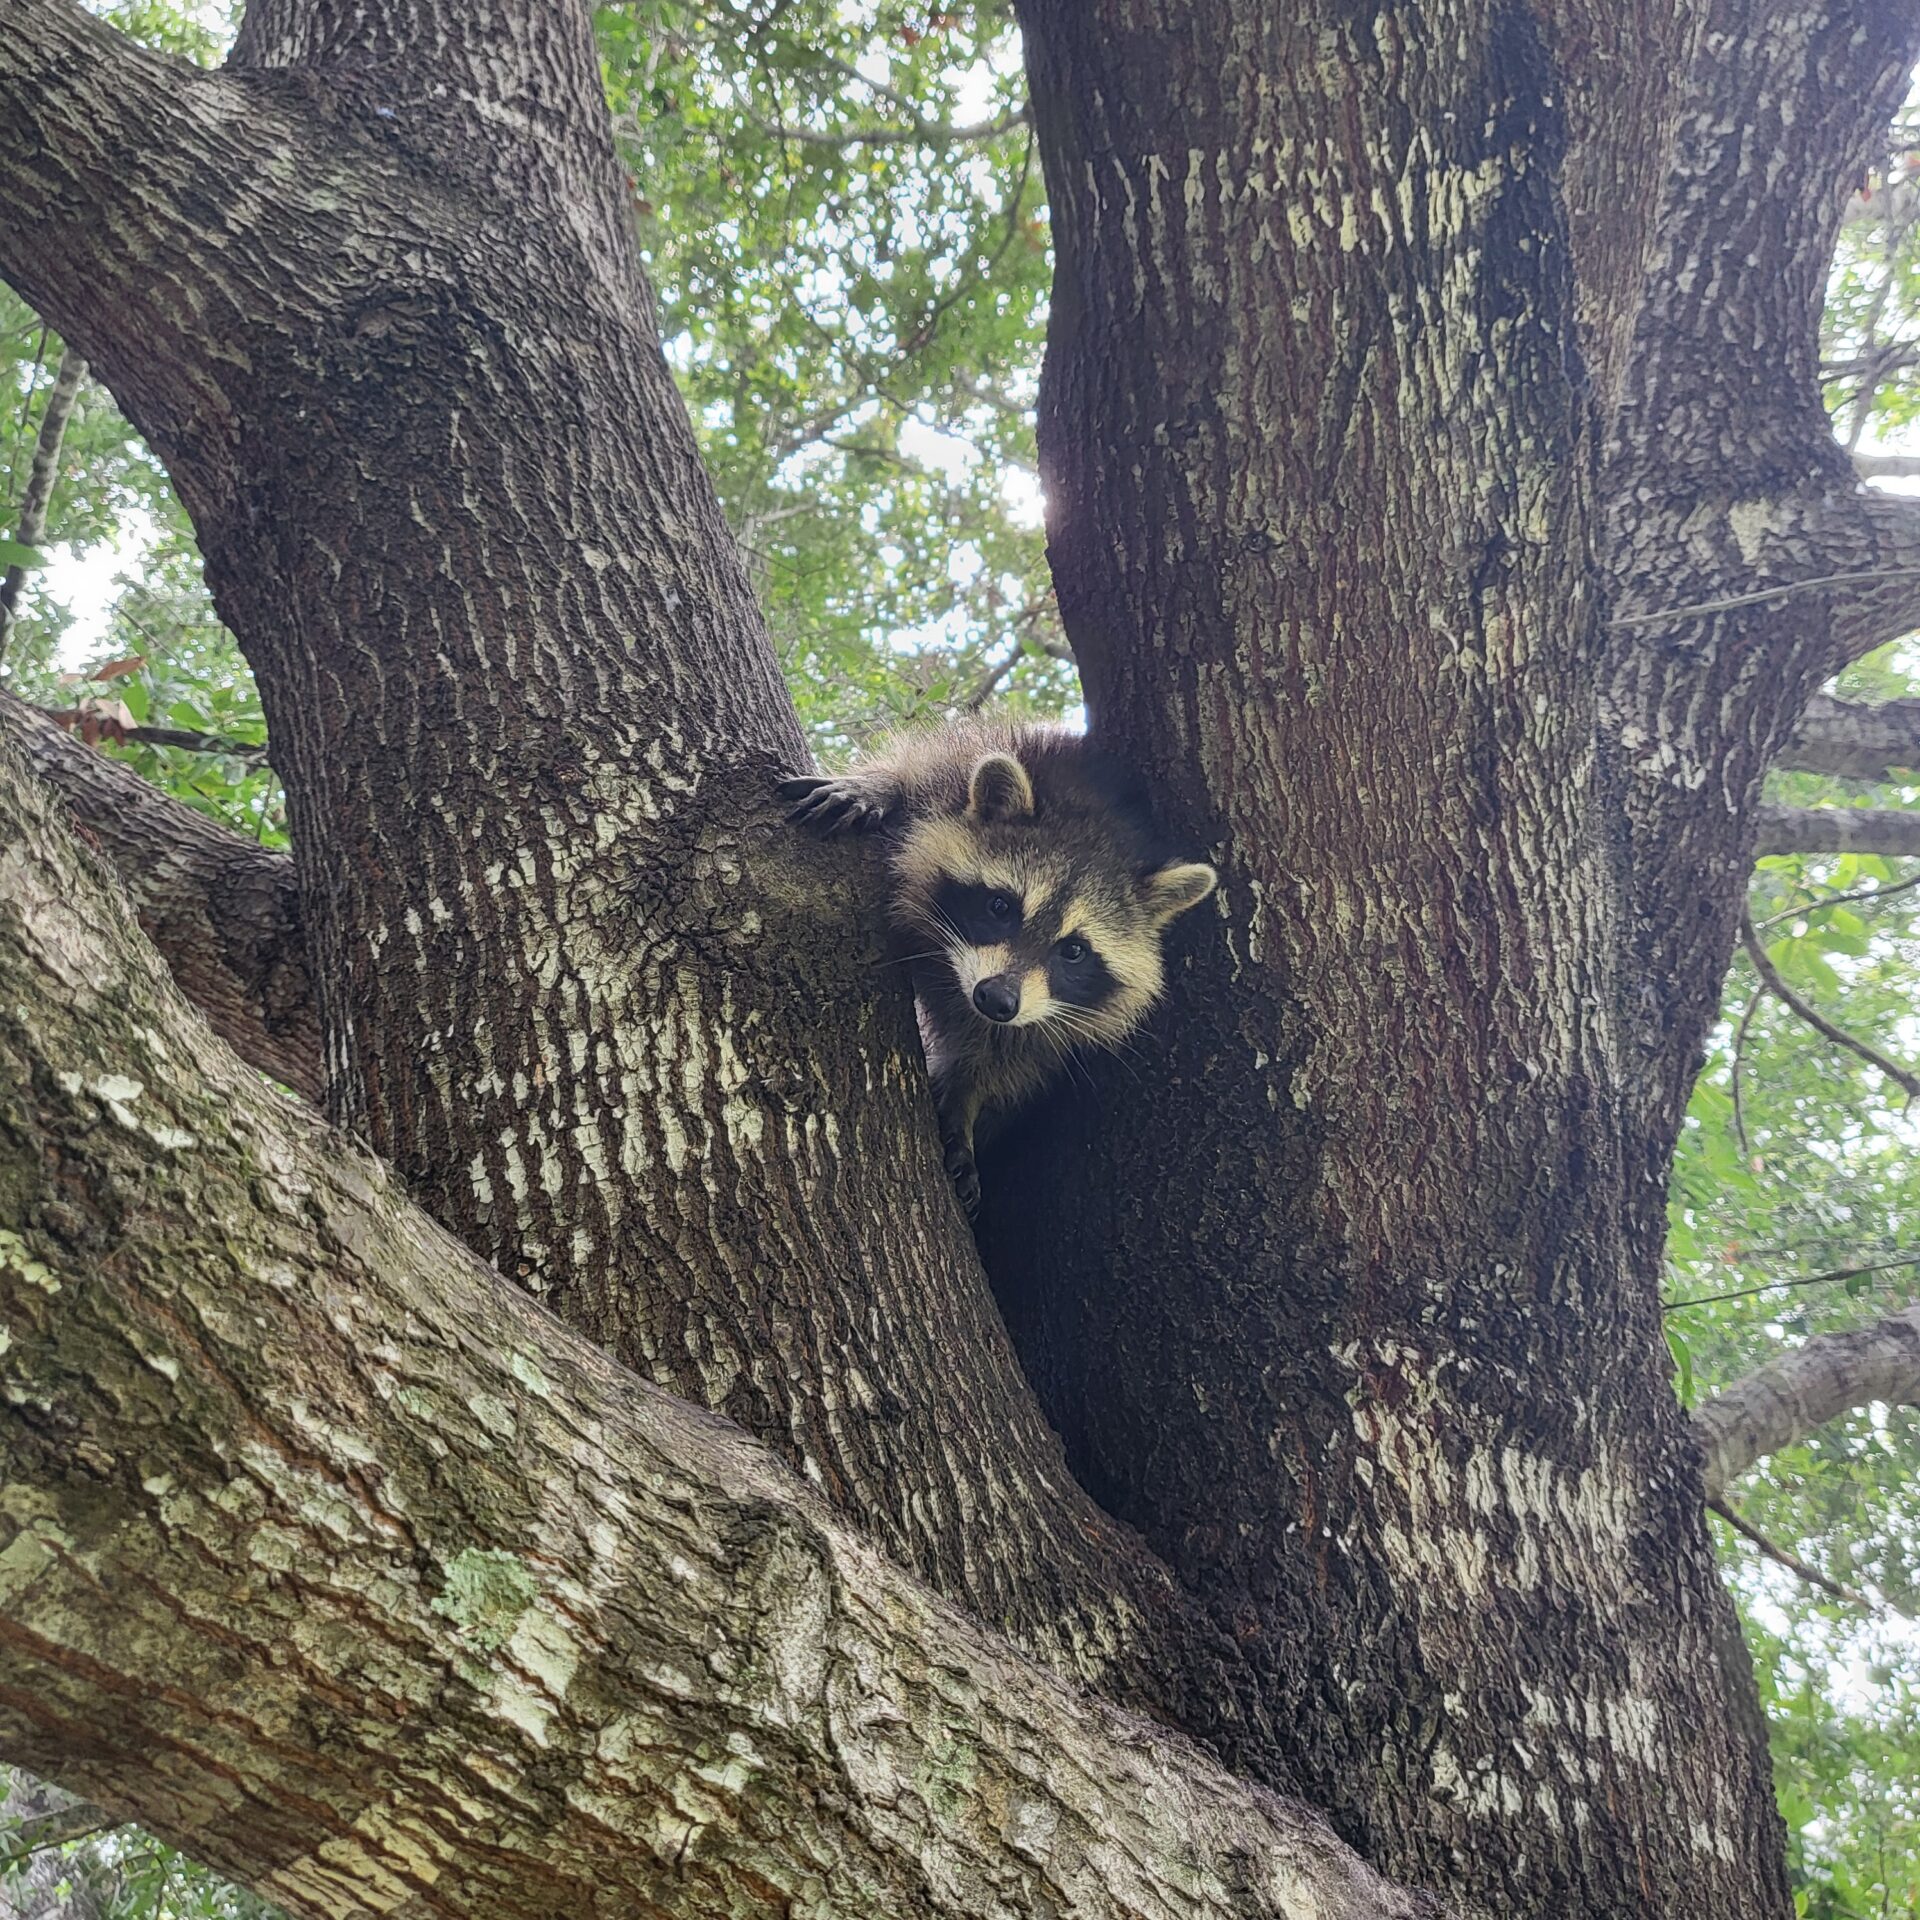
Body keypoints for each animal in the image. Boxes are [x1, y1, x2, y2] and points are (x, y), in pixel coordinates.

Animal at [778, 721, 1216, 1211]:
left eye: (1074, 950)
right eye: (1001, 906)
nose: (996, 999)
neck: (1097, 817)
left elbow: (994, 1062)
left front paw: (961, 1106)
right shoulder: (961, 767)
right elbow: (914, 768)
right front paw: (877, 785)